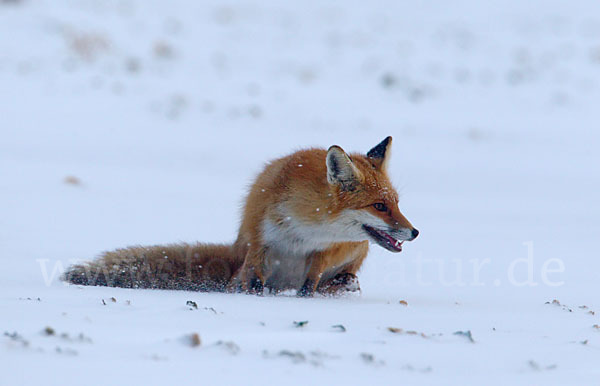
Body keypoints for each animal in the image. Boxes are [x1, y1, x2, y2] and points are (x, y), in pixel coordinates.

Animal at [62, 136, 418, 296]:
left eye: (397, 203)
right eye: (380, 206)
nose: (414, 232)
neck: (306, 229)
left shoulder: (328, 250)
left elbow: (311, 280)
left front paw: (307, 297)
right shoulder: (259, 240)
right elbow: (252, 279)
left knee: (343, 278)